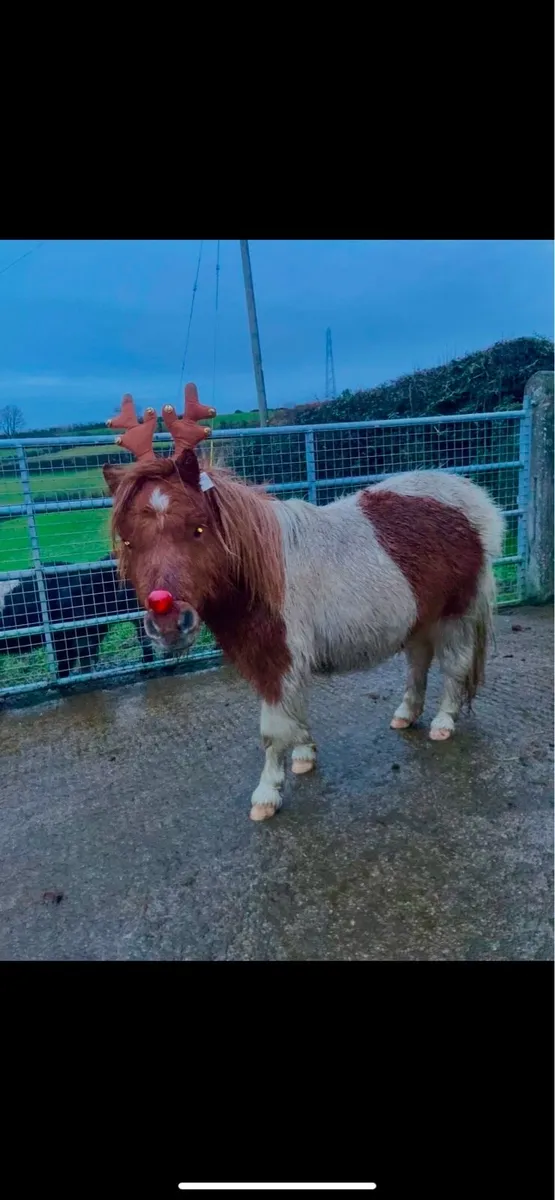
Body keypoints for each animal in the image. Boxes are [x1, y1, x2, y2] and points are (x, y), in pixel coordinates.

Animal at [103, 385, 505, 821]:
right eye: (129, 542)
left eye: (198, 529)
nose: (168, 621)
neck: (260, 572)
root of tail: (473, 498)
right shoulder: (277, 660)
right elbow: (295, 712)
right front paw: (304, 755)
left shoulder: (279, 658)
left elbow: (273, 729)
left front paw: (267, 794)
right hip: (420, 615)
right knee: (418, 661)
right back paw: (406, 715)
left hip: (456, 613)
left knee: (454, 665)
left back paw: (443, 723)